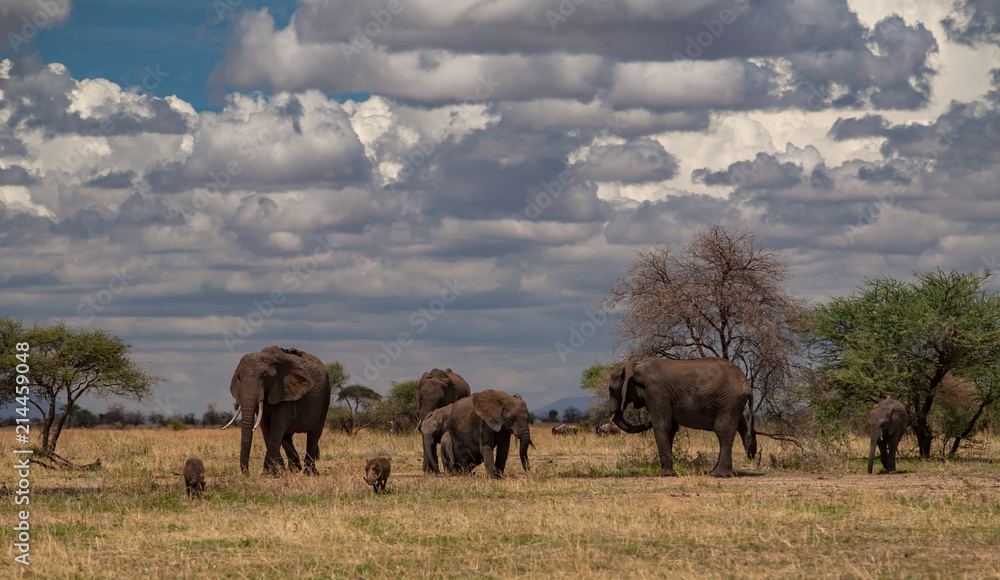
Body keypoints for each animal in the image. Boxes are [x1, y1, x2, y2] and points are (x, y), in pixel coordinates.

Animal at [223, 346, 332, 474]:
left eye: (264, 376)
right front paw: (275, 472)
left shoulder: (285, 391)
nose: (247, 474)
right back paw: (294, 469)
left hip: (325, 397)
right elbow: (266, 426)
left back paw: (309, 473)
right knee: (286, 436)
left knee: (314, 434)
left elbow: (277, 424)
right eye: (239, 377)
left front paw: (267, 474)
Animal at [608, 356, 756, 478]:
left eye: (611, 389)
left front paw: (663, 475)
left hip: (728, 401)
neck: (637, 365)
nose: (647, 422)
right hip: (733, 403)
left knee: (722, 431)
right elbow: (671, 428)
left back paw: (718, 474)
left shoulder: (656, 392)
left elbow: (662, 425)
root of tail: (747, 386)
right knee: (741, 426)